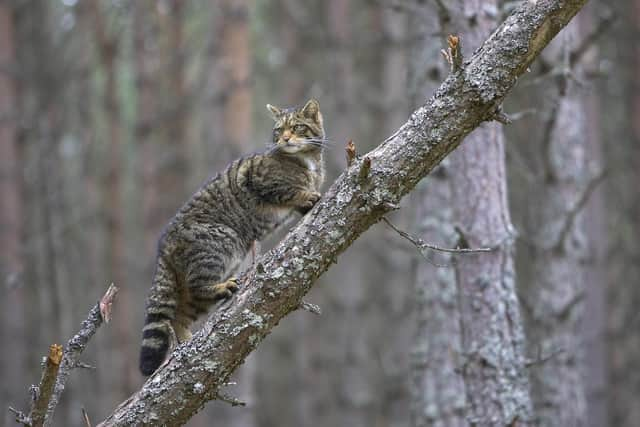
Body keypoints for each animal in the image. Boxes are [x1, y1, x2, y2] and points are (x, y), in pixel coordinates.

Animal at [142, 99, 328, 374]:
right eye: (278, 130)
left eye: (296, 127)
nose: (284, 138)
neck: (306, 159)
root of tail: (163, 244)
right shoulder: (259, 179)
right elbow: (288, 190)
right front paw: (306, 194)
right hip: (222, 242)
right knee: (196, 288)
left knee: (180, 315)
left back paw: (186, 342)